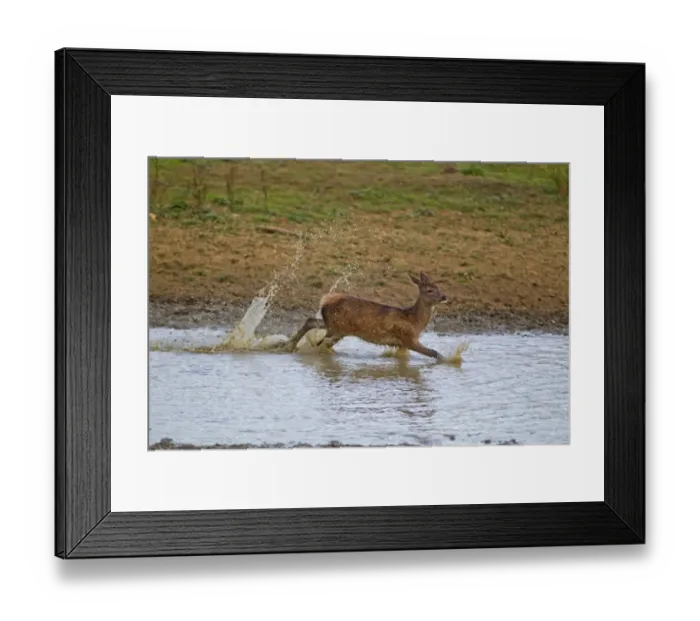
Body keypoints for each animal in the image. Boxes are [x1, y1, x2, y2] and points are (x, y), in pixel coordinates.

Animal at [285, 272, 448, 361]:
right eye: (429, 290)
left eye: (439, 287)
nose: (444, 296)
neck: (414, 321)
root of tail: (324, 301)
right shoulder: (408, 338)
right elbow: (434, 352)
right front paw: (448, 361)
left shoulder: (401, 344)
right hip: (336, 329)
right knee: (319, 343)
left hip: (333, 325)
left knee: (310, 321)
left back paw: (288, 346)